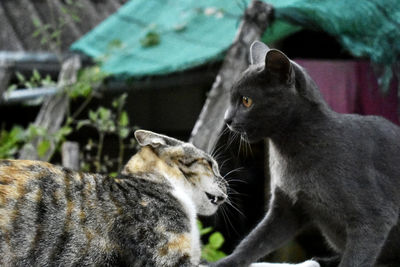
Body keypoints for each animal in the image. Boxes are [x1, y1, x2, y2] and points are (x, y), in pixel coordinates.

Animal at [214, 40, 400, 267]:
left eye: (246, 101)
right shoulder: (286, 208)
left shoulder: (374, 217)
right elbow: (253, 241)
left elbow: (355, 259)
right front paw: (222, 263)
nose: (226, 119)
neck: (289, 153)